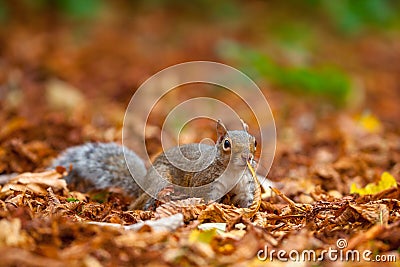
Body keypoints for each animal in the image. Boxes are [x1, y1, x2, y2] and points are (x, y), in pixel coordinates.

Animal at [51, 120, 258, 210]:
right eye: (226, 144)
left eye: (254, 142)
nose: (247, 157)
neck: (232, 172)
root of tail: (143, 182)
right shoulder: (205, 184)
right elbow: (206, 201)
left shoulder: (245, 183)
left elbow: (246, 199)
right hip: (161, 179)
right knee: (138, 204)